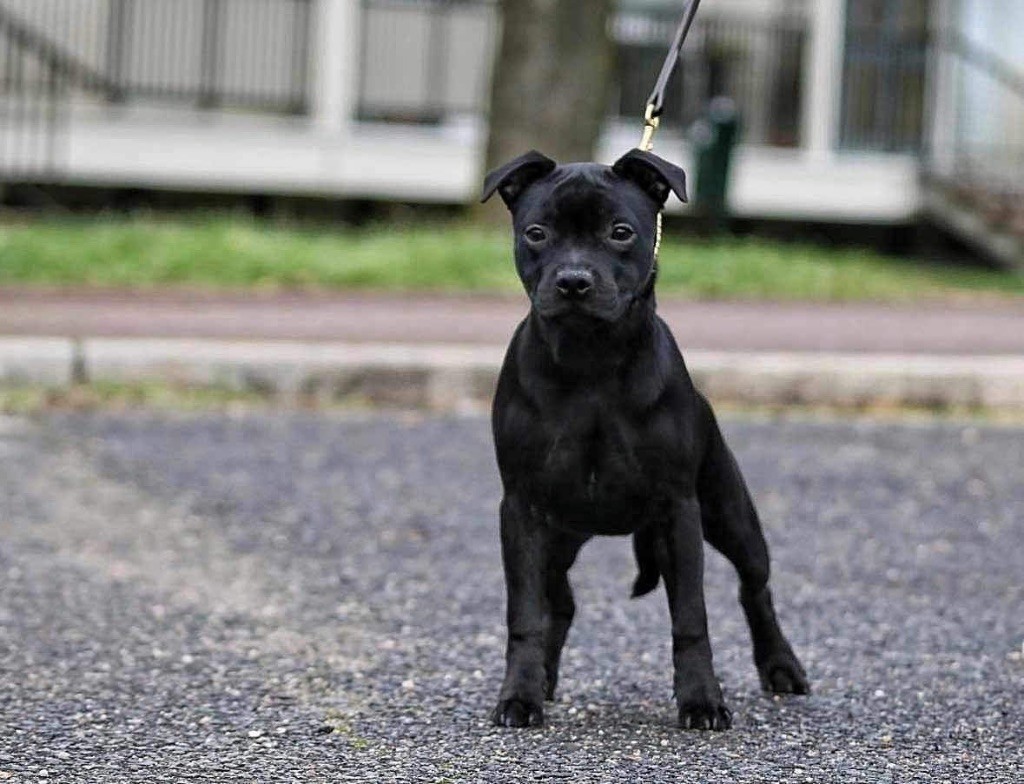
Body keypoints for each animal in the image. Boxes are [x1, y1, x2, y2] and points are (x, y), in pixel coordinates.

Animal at [483, 147, 811, 728]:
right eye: (537, 233)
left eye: (620, 232)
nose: (573, 281)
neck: (591, 360)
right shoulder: (520, 510)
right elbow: (524, 613)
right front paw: (518, 695)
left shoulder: (679, 510)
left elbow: (691, 616)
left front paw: (702, 699)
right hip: (557, 538)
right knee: (558, 602)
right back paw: (543, 678)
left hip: (730, 516)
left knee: (756, 588)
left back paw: (781, 667)